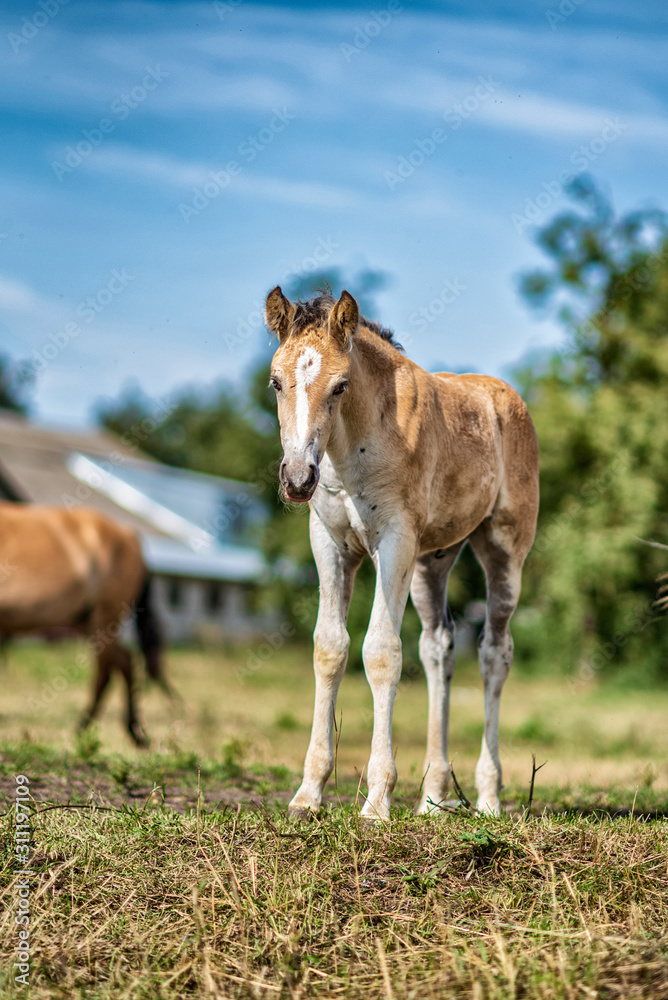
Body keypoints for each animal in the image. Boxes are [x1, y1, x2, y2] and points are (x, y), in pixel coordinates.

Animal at [0, 502, 166, 745]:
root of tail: (129, 535)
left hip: (104, 618)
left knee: (108, 669)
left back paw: (90, 729)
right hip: (87, 622)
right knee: (122, 663)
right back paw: (129, 729)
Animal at [265, 286, 540, 821]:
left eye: (340, 386)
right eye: (275, 382)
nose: (298, 479)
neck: (351, 448)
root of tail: (508, 399)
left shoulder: (394, 540)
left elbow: (381, 652)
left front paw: (376, 800)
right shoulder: (329, 542)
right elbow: (330, 648)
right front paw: (308, 795)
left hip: (504, 550)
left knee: (494, 652)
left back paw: (489, 797)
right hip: (432, 561)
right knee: (438, 647)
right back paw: (432, 796)